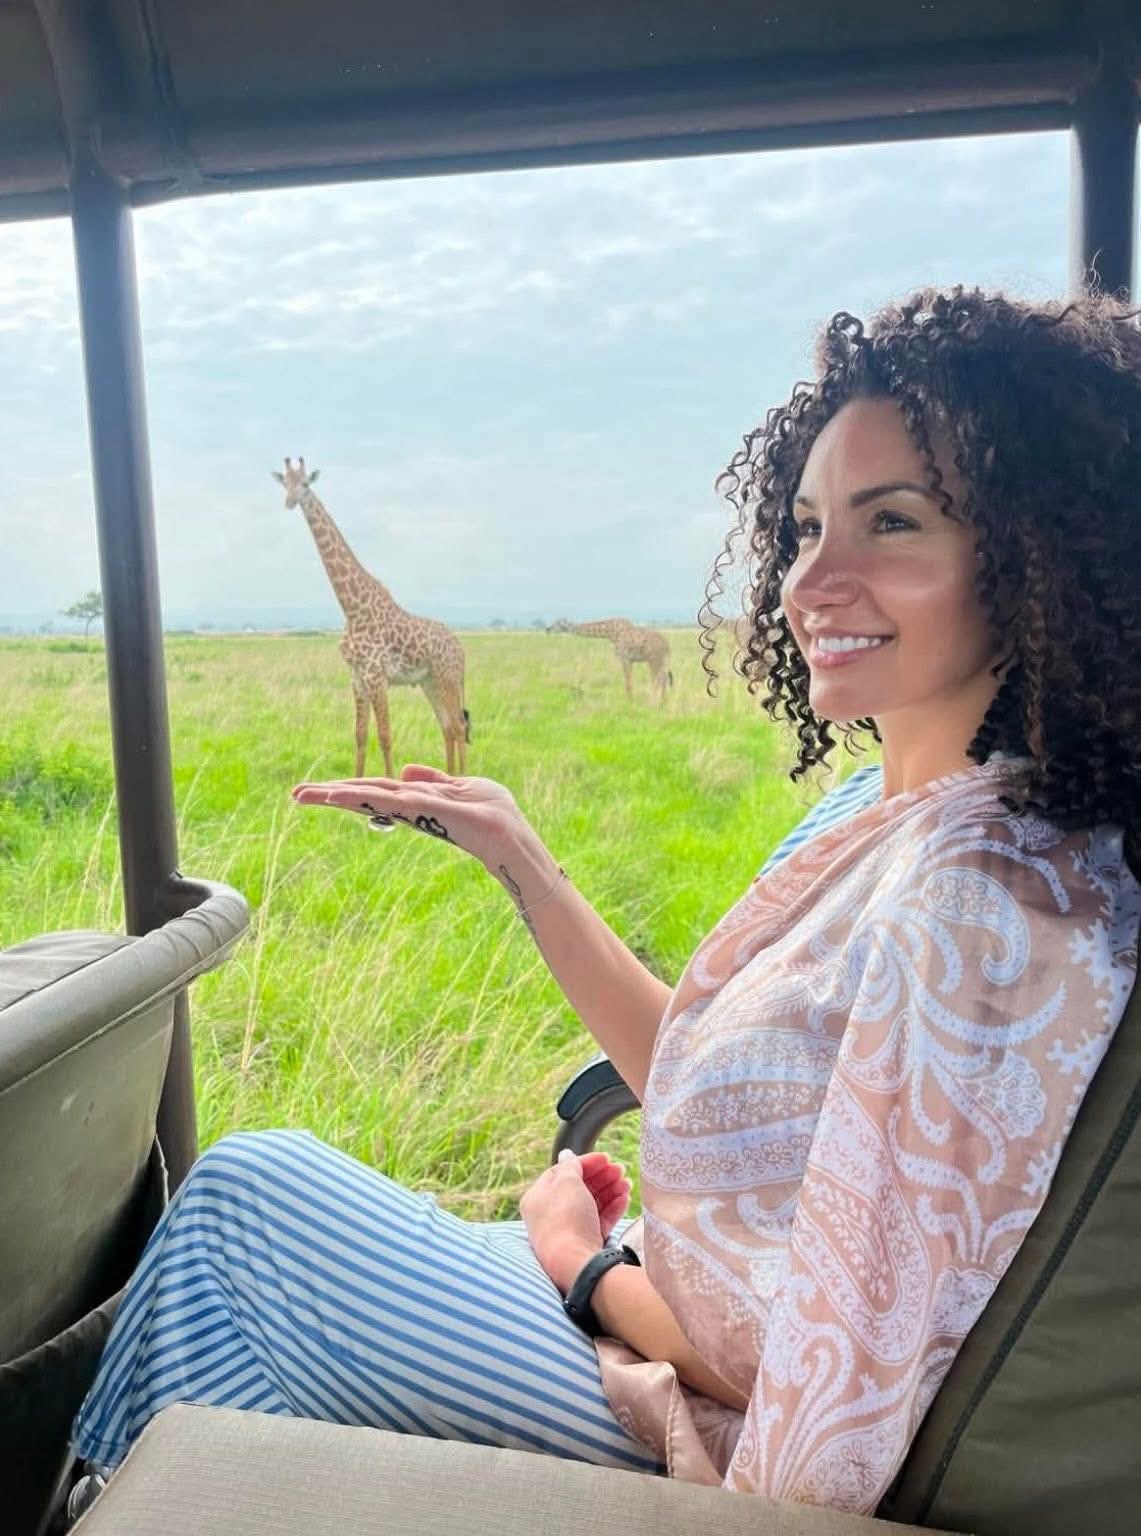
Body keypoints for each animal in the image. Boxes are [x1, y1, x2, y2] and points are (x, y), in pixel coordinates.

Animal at [273, 458, 470, 776]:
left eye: (304, 484)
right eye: (285, 484)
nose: (290, 502)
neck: (352, 609)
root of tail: (461, 648)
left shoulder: (377, 676)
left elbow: (385, 736)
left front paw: (390, 783)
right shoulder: (357, 678)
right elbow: (360, 735)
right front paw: (355, 782)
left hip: (447, 677)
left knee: (459, 726)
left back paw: (462, 778)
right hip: (429, 681)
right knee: (448, 726)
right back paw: (448, 777)